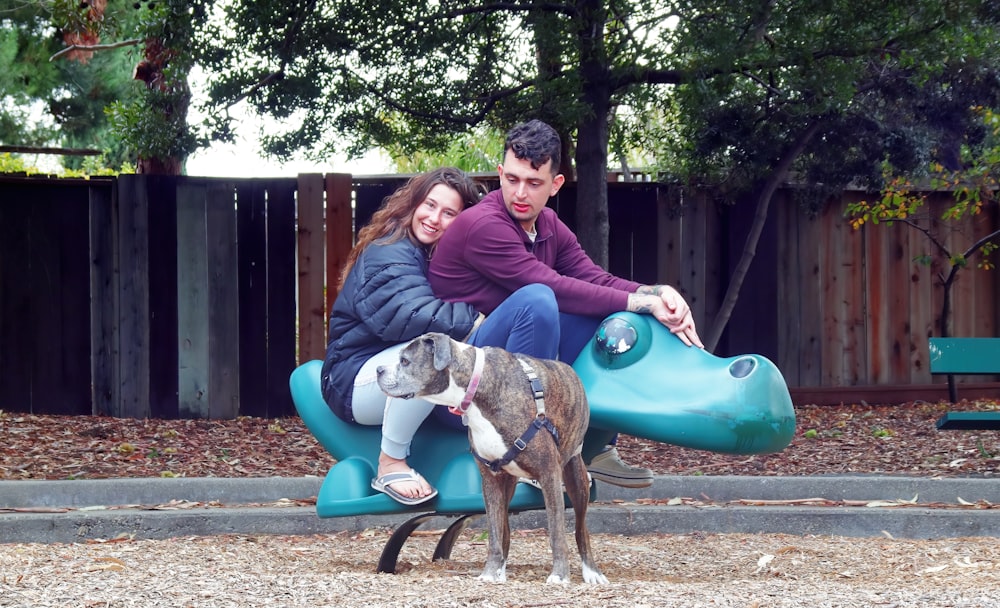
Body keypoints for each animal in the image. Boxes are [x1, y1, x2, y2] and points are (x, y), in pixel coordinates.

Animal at [376, 332, 604, 584]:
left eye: (405, 361)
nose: (378, 369)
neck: (476, 387)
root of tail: (568, 368)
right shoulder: (491, 481)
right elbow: (495, 533)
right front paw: (490, 572)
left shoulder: (549, 475)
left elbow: (556, 531)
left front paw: (560, 575)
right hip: (508, 484)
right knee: (505, 530)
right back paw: (500, 570)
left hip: (575, 478)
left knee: (581, 529)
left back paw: (592, 571)